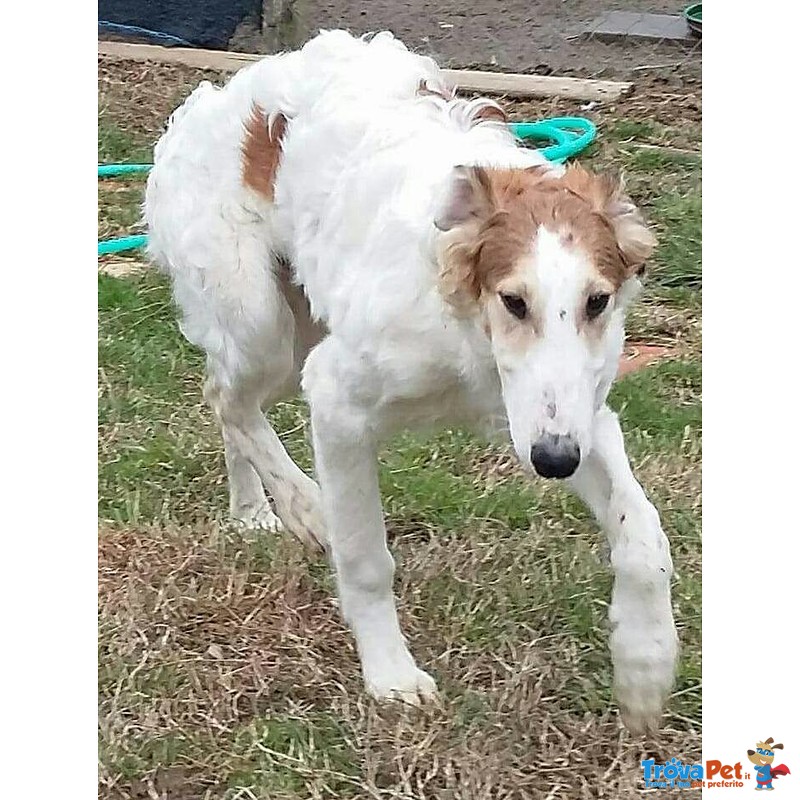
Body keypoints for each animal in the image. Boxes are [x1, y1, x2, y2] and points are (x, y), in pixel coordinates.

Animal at [144, 29, 676, 732]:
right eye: (513, 301)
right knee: (228, 400)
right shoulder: (338, 400)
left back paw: (253, 511)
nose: (554, 464)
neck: (469, 333)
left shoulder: (572, 419)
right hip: (266, 327)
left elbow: (644, 534)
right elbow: (366, 558)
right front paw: (391, 675)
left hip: (294, 334)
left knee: (225, 394)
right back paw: (304, 506)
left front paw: (645, 666)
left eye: (598, 302)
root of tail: (210, 99)